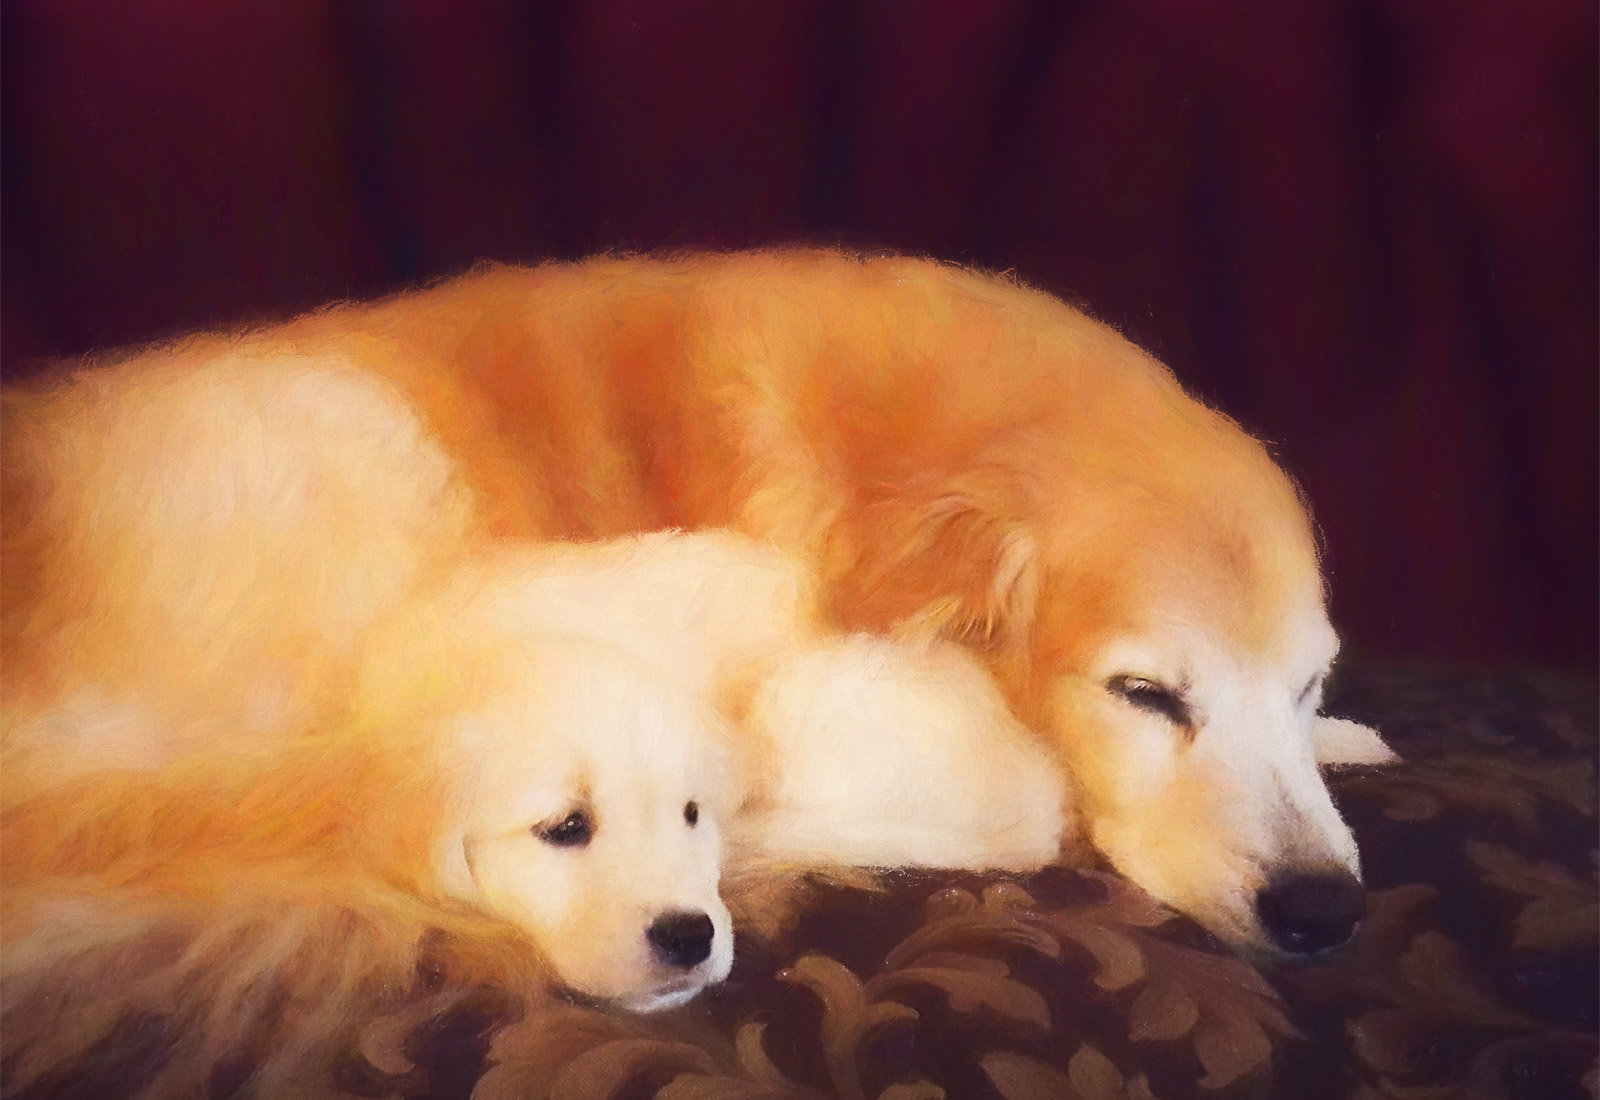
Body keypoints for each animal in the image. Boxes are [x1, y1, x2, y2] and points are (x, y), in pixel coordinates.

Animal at [3, 244, 1388, 965]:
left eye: (1306, 676)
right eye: (1145, 692)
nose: (1324, 909)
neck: (903, 472)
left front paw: (1346, 739)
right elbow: (1018, 789)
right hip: (360, 458)